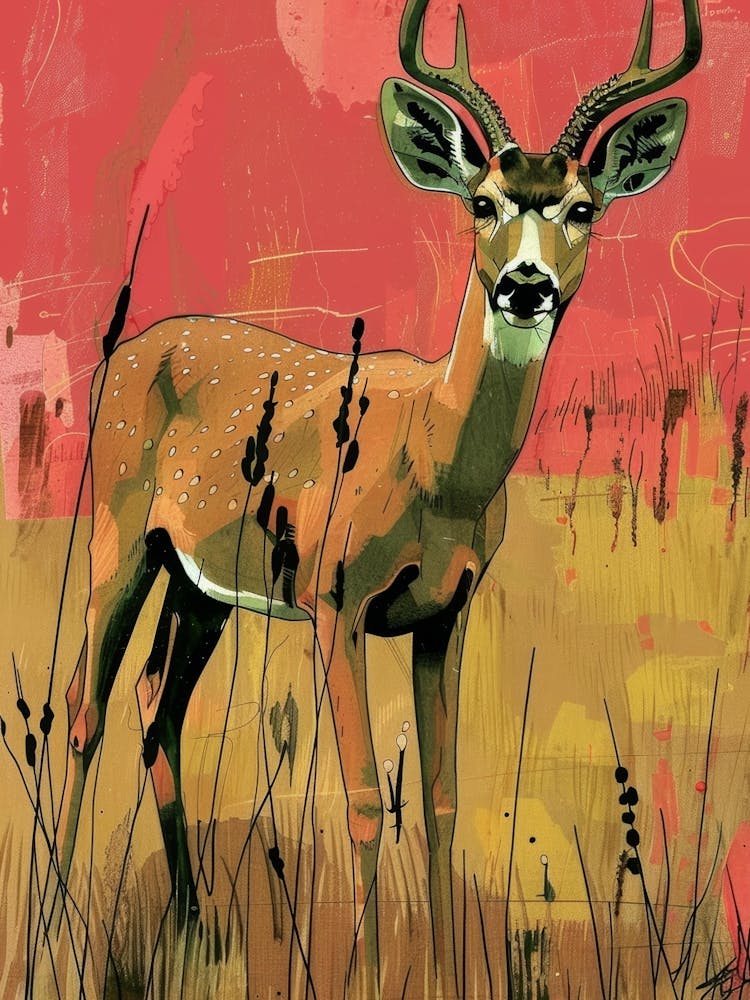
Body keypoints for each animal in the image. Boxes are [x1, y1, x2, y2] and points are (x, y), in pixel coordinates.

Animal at [55, 0, 701, 992]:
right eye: (483, 202)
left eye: (583, 208)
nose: (524, 285)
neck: (433, 464)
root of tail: (125, 351)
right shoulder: (335, 596)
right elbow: (363, 797)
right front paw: (359, 973)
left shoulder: (448, 612)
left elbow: (439, 799)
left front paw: (445, 975)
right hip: (116, 529)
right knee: (84, 711)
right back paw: (53, 932)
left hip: (203, 587)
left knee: (156, 705)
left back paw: (196, 925)